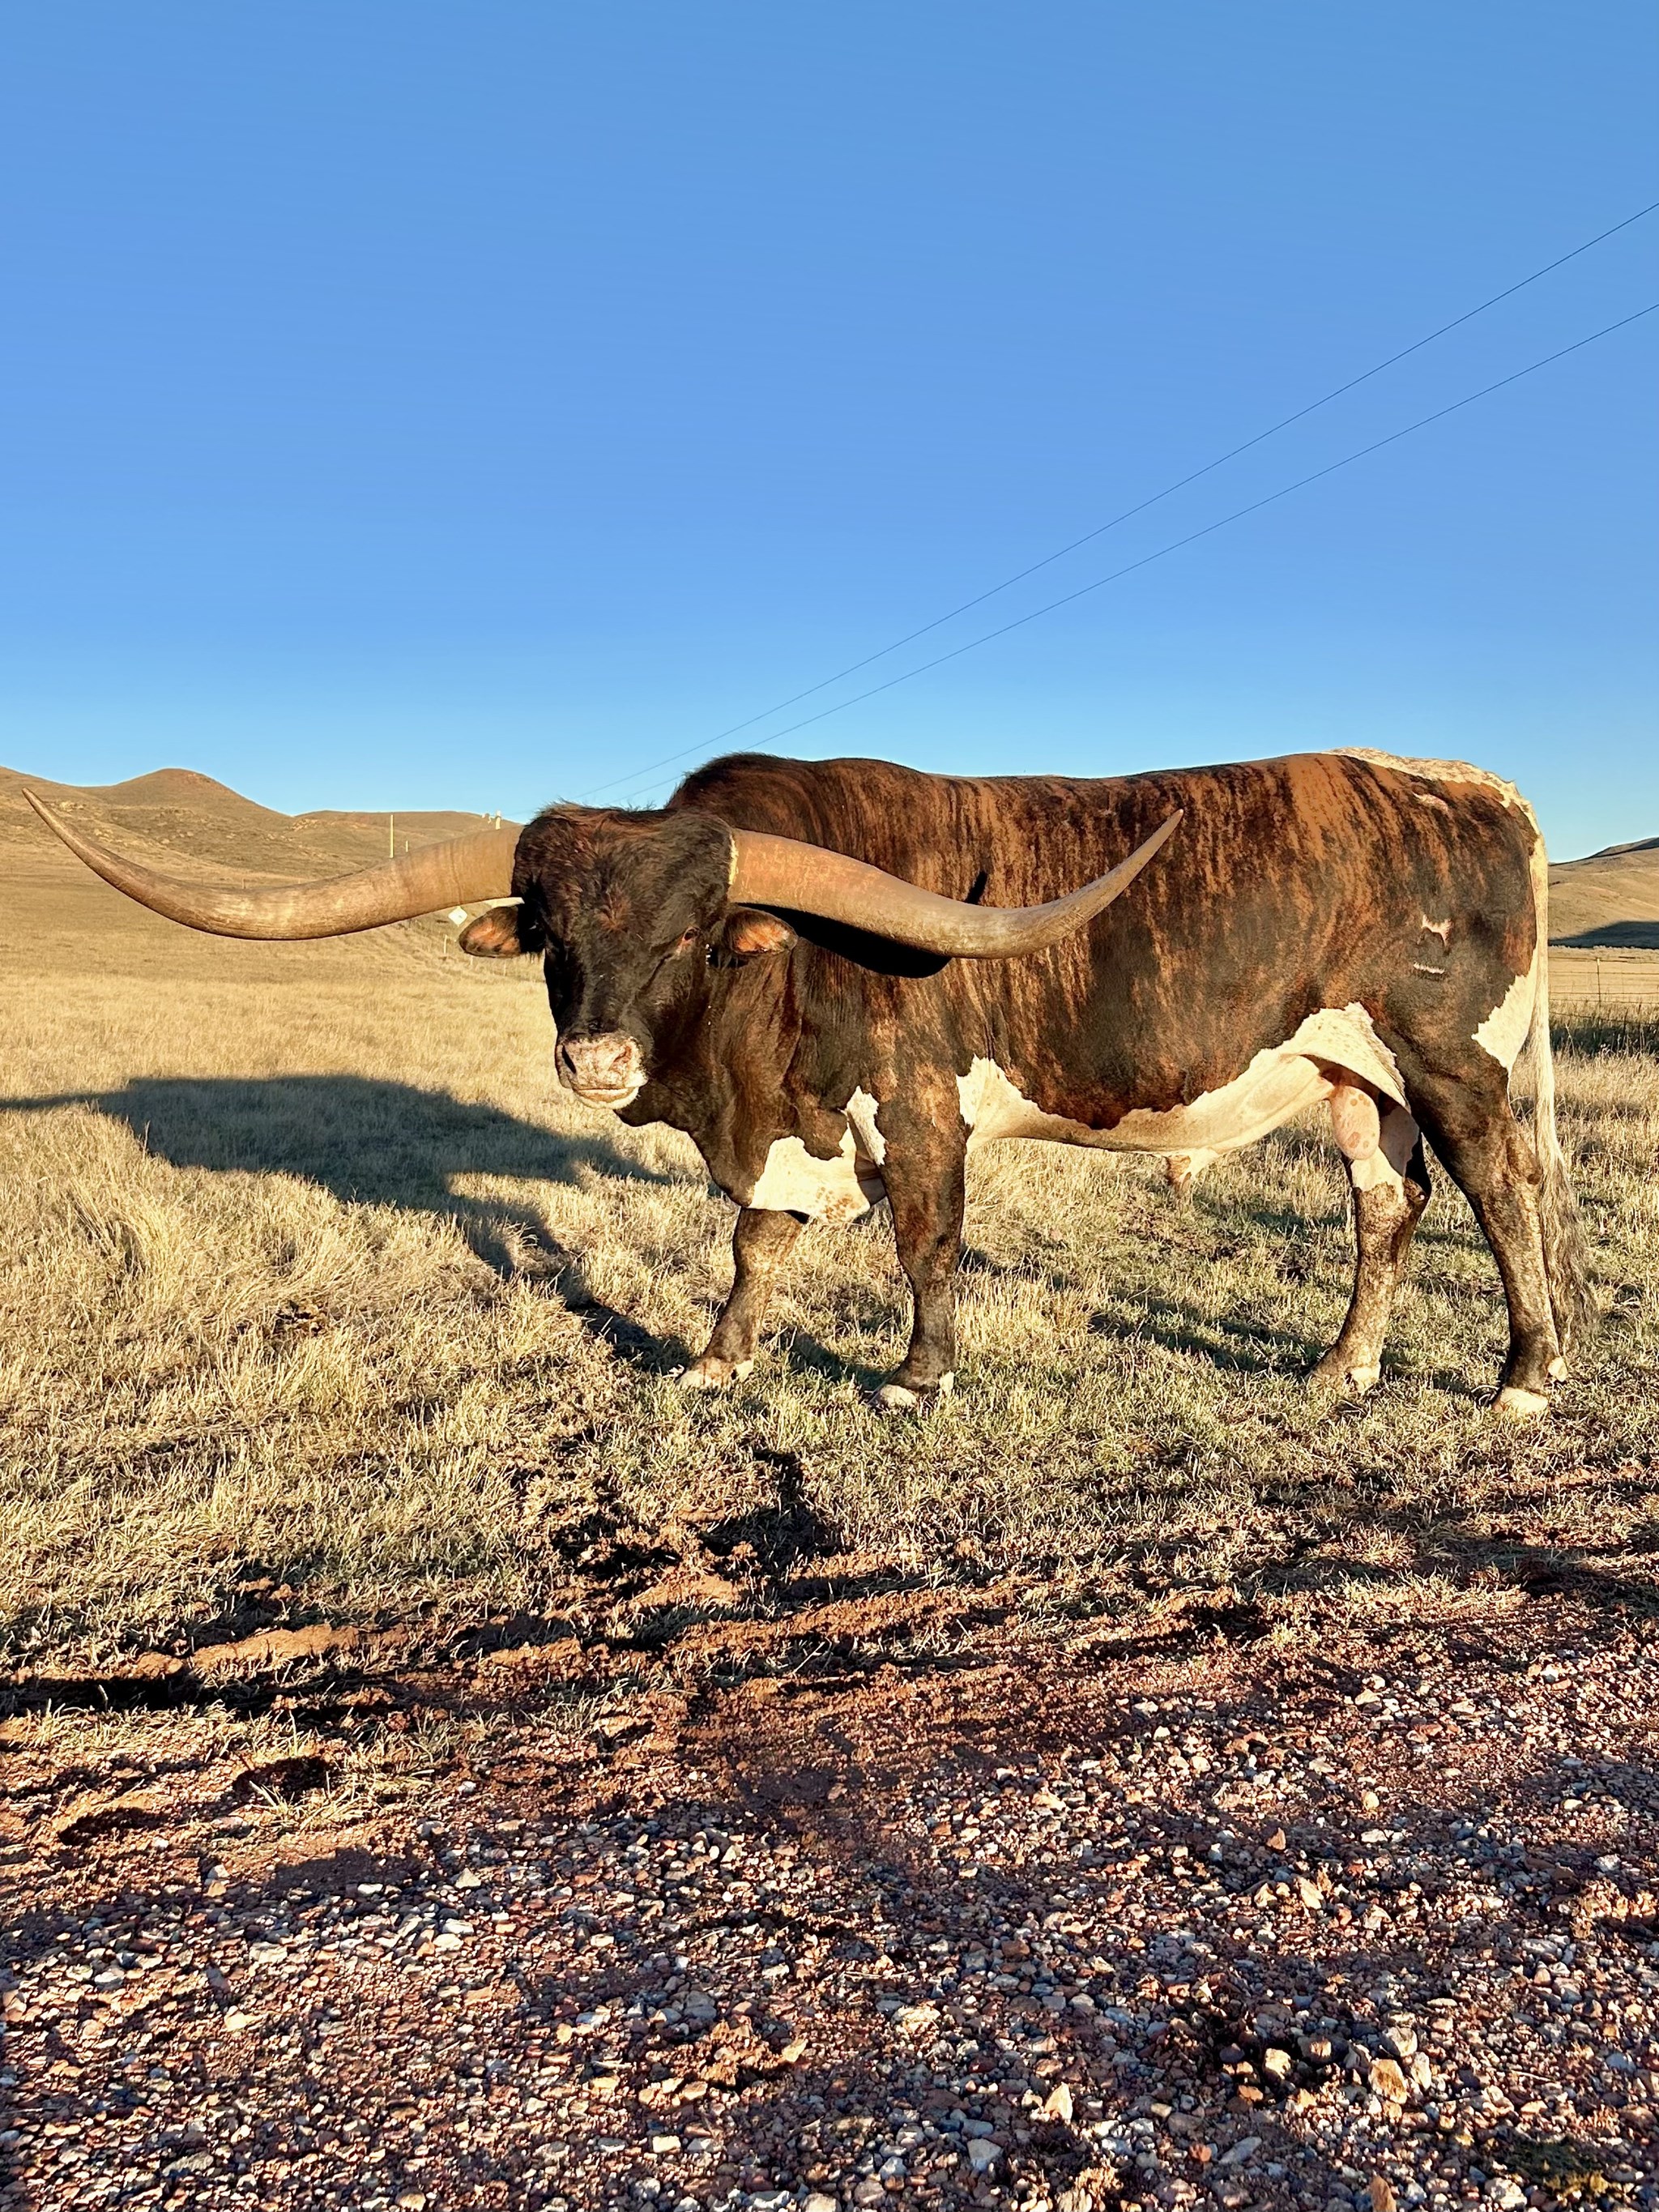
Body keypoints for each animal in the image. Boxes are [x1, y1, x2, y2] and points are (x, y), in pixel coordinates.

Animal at [27, 746, 1589, 1416]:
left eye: (689, 932)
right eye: (557, 933)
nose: (593, 1059)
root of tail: (1467, 785)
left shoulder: (919, 1106)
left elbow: (926, 1242)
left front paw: (915, 1374)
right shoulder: (781, 1135)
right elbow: (753, 1245)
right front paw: (719, 1355)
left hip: (1447, 1059)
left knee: (1500, 1193)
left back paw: (1523, 1376)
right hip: (1353, 1080)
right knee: (1387, 1210)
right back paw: (1340, 1366)